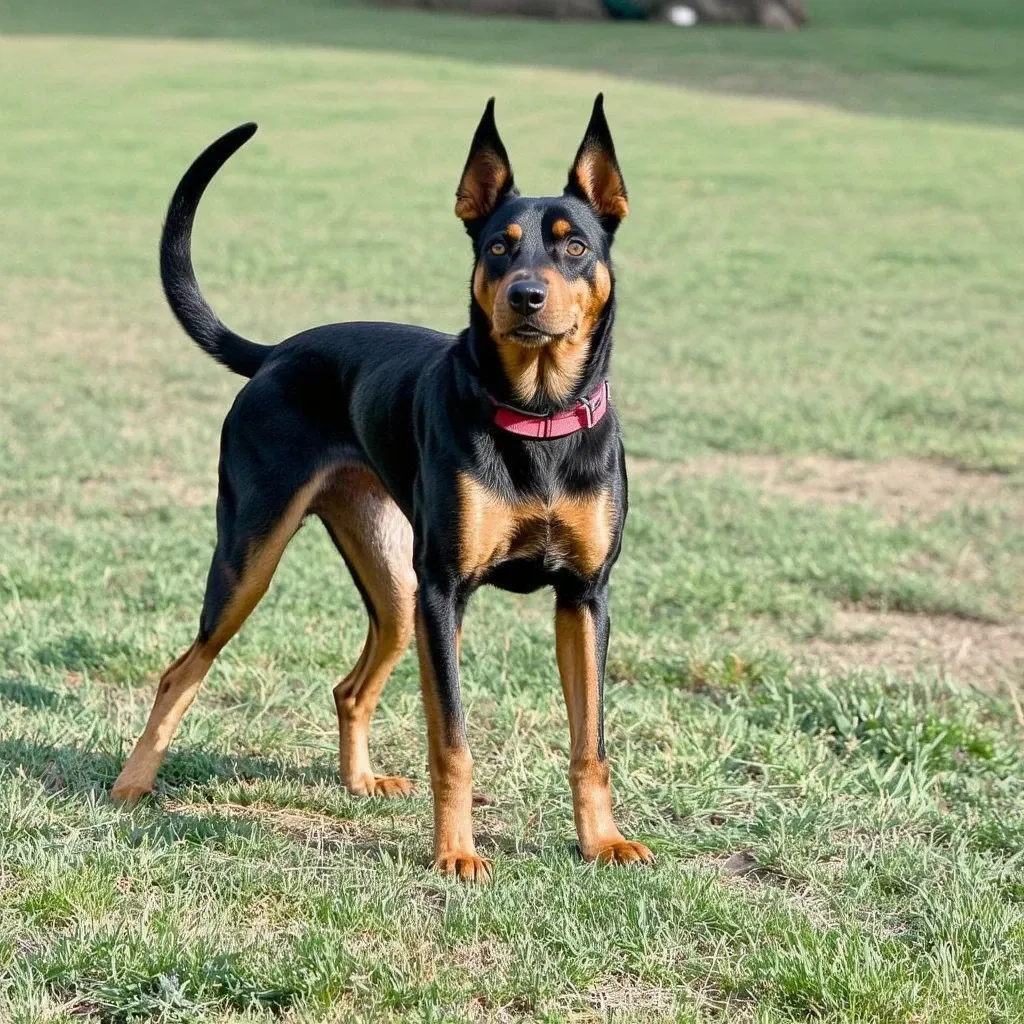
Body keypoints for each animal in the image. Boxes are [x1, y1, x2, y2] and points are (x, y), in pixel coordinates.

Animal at [110, 97, 655, 880]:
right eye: (499, 247)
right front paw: (455, 853)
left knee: (349, 686)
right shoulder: (445, 594)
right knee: (181, 670)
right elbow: (452, 742)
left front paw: (602, 841)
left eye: (574, 246)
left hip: (395, 591)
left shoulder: (584, 596)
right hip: (256, 561)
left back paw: (359, 779)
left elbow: (591, 745)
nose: (525, 296)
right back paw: (133, 782)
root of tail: (277, 353)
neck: (538, 416)